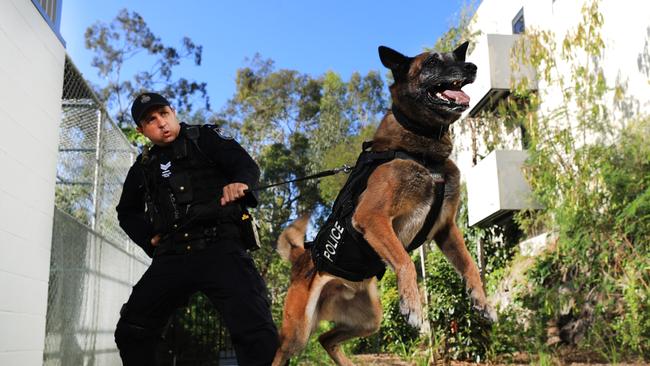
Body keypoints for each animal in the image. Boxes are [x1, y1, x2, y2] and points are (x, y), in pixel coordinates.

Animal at [270, 43, 494, 366]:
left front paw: (481, 300)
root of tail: (302, 256)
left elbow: (470, 265)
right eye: (432, 61)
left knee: (327, 338)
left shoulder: (446, 229)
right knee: (284, 350)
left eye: (457, 57)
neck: (425, 153)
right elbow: (404, 261)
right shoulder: (372, 216)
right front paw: (412, 305)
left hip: (369, 320)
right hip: (297, 333)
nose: (472, 67)